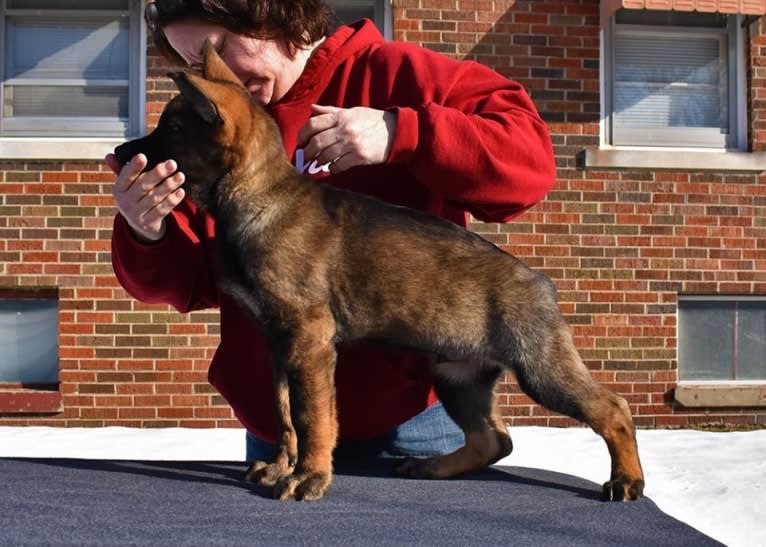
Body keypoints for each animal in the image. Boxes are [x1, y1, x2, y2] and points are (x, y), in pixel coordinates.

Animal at [114, 41, 644, 506]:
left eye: (170, 130)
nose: (119, 154)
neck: (257, 195)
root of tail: (539, 281)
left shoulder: (309, 339)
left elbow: (312, 417)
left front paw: (308, 476)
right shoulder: (279, 345)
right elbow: (284, 413)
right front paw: (282, 466)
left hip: (539, 366)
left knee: (612, 408)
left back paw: (627, 480)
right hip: (457, 373)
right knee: (493, 439)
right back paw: (433, 467)